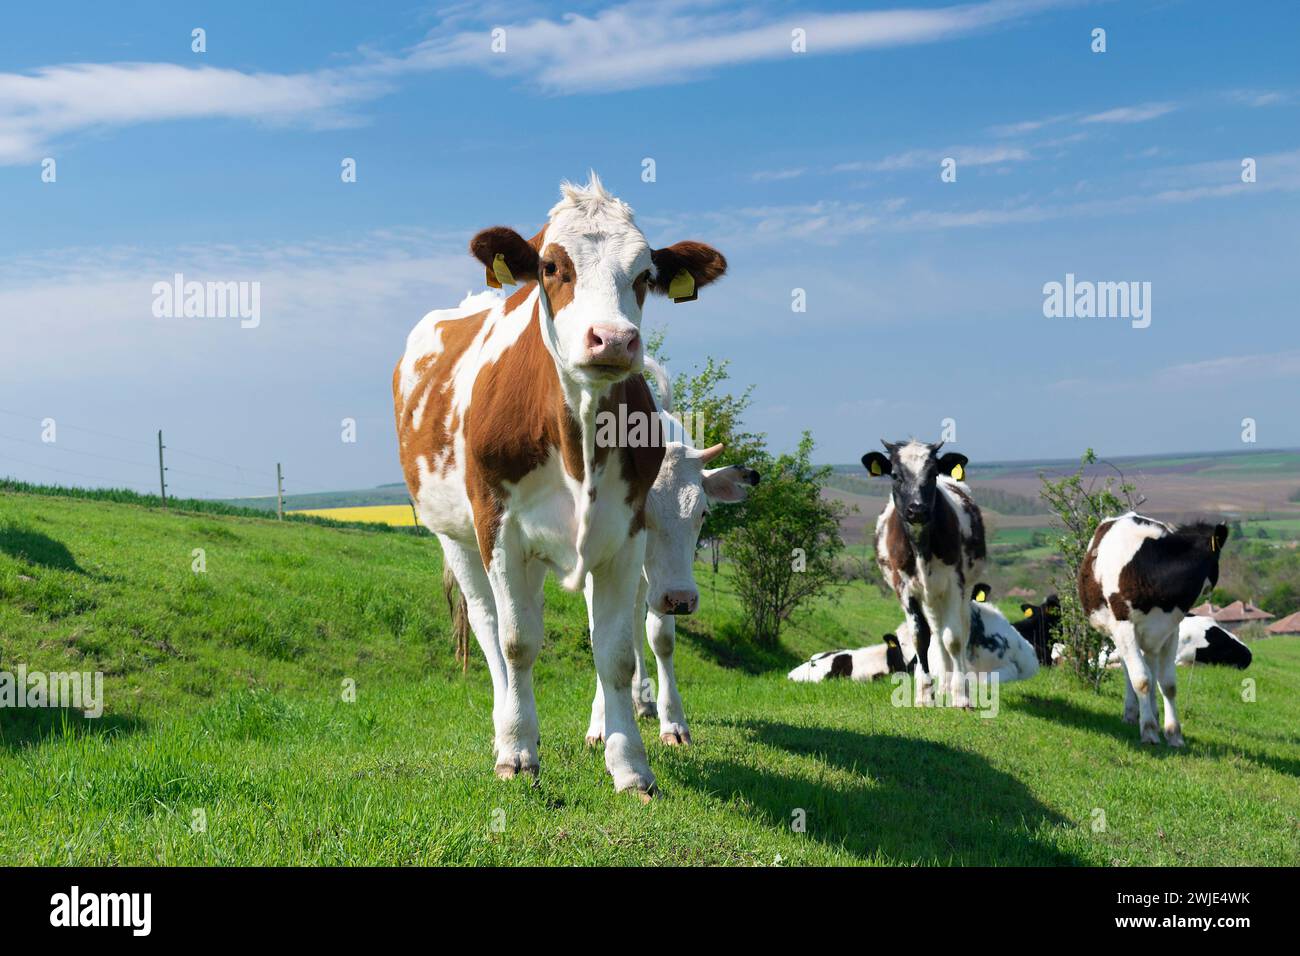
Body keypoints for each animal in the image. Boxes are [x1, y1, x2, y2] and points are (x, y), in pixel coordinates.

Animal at [390, 175, 728, 796]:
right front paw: (518, 751)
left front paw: (630, 763)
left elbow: (617, 649)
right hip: (457, 535)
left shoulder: (624, 534)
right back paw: (505, 723)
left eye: (645, 275)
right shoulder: (499, 527)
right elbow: (517, 642)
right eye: (551, 266)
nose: (613, 340)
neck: (577, 444)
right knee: (490, 627)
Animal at [585, 358, 759, 749]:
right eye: (639, 511)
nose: (681, 599)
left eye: (703, 513)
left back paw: (642, 701)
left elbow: (660, 639)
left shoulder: (666, 582)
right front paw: (600, 723)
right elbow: (600, 632)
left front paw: (673, 721)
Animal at [863, 442, 982, 712]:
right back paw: (944, 686)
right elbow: (921, 638)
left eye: (932, 474)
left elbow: (954, 638)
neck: (920, 548)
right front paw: (925, 694)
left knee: (959, 630)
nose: (916, 509)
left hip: (962, 589)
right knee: (936, 633)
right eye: (895, 475)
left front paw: (961, 696)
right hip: (930, 597)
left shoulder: (954, 584)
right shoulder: (905, 589)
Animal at [1076, 515, 1227, 749]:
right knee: (1131, 669)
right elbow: (1141, 680)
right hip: (1118, 632)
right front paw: (1148, 730)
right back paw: (1133, 714)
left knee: (1151, 667)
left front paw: (1173, 733)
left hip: (1152, 638)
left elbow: (1168, 684)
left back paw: (1154, 714)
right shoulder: (1124, 626)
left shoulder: (1171, 630)